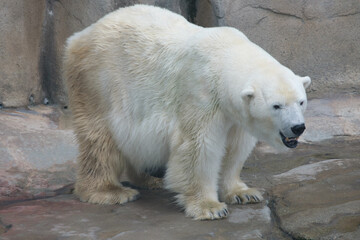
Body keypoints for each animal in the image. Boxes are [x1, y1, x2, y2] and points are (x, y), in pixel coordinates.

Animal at [64, 4, 310, 220]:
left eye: (301, 102)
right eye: (276, 106)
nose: (298, 127)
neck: (223, 54)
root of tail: (78, 36)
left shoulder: (235, 115)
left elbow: (235, 148)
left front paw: (243, 193)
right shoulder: (200, 94)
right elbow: (198, 147)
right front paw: (210, 207)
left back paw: (151, 178)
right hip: (98, 83)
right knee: (99, 138)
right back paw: (109, 191)